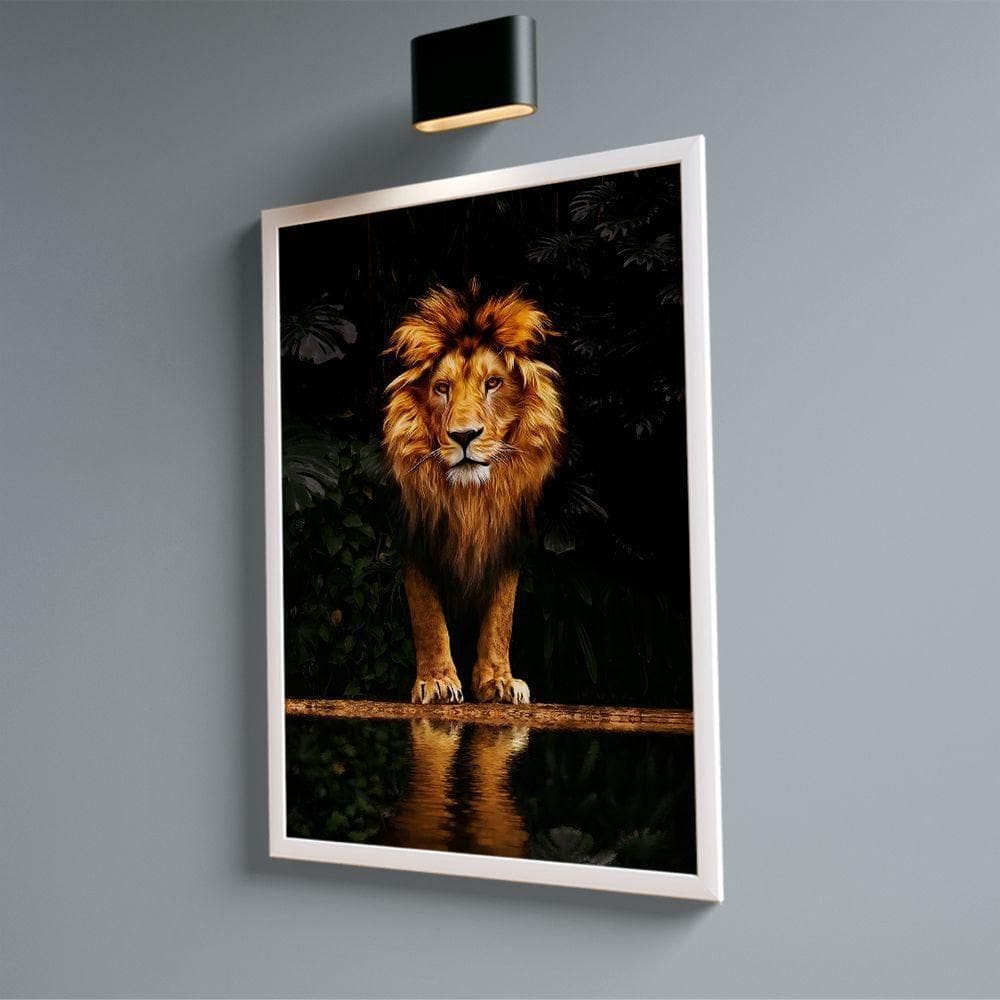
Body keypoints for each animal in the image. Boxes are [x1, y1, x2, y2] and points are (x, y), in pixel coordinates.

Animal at [382, 280, 564, 705]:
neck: (470, 499)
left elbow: (500, 617)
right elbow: (427, 616)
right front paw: (436, 681)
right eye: (442, 388)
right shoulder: (416, 539)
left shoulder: (509, 542)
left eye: (493, 383)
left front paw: (498, 681)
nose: (464, 436)